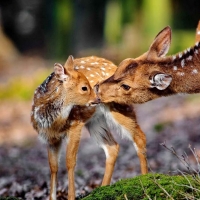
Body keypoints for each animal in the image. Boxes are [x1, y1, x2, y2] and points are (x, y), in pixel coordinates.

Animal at [30, 55, 147, 200]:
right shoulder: (49, 138)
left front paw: (71, 196)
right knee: (112, 147)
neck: (53, 122)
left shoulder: (75, 124)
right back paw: (103, 188)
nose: (98, 97)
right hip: (95, 121)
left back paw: (145, 180)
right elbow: (53, 166)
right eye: (84, 88)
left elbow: (70, 161)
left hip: (120, 107)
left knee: (140, 137)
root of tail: (113, 65)